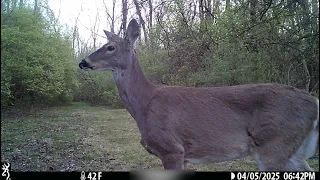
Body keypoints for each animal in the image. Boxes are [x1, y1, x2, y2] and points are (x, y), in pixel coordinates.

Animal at [79, 19, 318, 171]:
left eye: (110, 47)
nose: (83, 62)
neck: (144, 104)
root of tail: (314, 101)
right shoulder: (183, 156)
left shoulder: (172, 149)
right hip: (294, 151)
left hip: (274, 144)